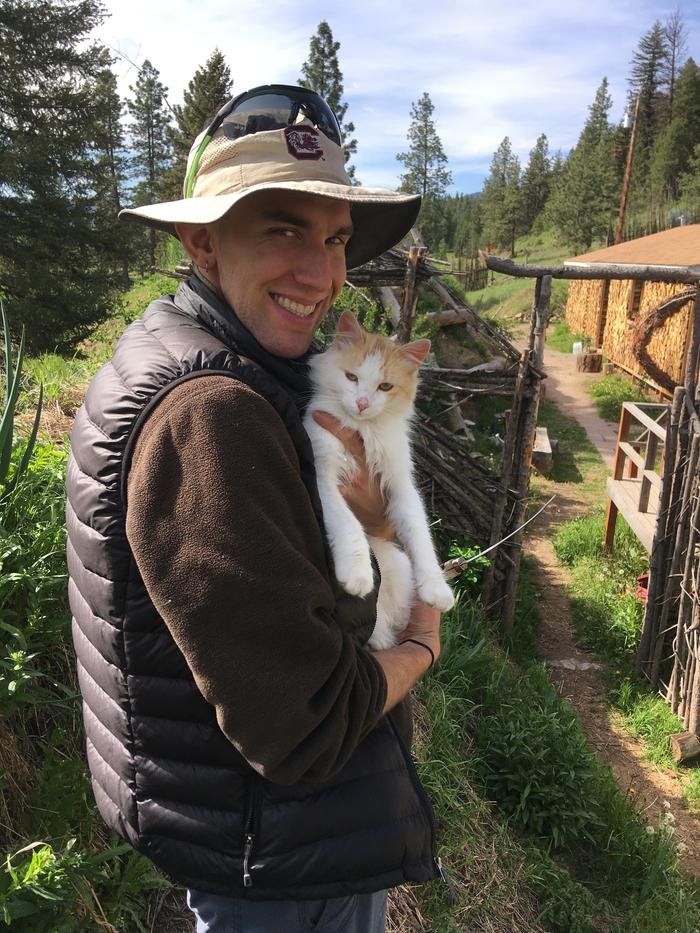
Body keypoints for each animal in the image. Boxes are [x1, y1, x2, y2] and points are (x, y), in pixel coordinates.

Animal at [304, 310, 456, 644]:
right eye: (352, 378)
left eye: (385, 387)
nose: (362, 403)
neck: (364, 430)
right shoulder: (323, 475)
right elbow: (349, 525)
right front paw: (357, 574)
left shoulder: (401, 485)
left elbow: (420, 534)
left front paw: (437, 589)